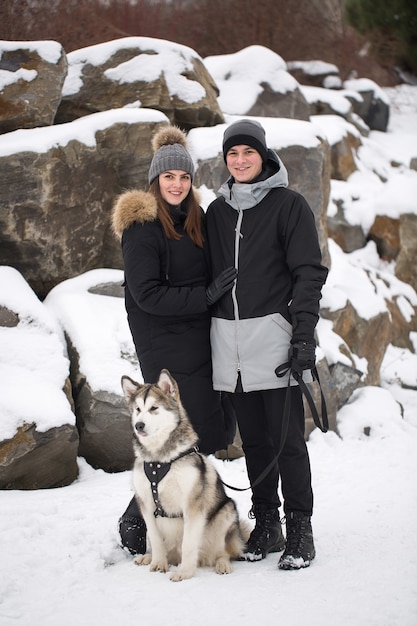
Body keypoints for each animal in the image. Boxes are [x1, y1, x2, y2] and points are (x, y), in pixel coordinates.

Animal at [121, 366, 250, 580]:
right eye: (137, 409)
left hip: (226, 512)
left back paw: (222, 564)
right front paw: (158, 563)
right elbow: (156, 539)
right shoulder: (146, 504)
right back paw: (148, 557)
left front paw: (185, 573)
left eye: (154, 408)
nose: (139, 425)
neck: (159, 461)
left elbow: (189, 544)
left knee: (223, 551)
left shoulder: (192, 506)